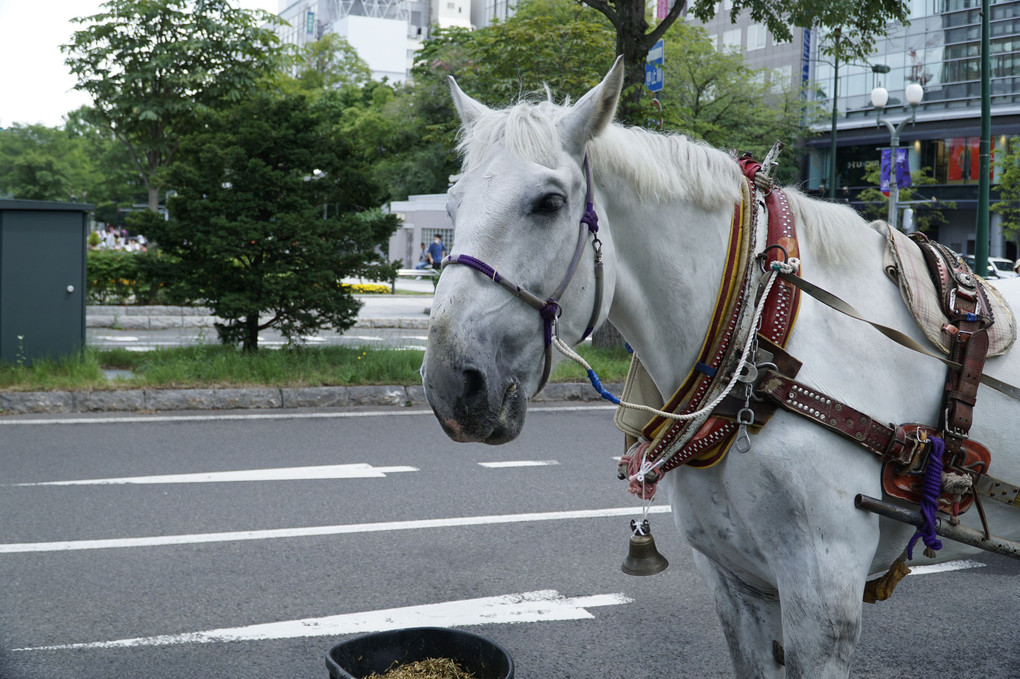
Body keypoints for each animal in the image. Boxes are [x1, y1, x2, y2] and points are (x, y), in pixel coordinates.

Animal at [416, 59, 1020, 676]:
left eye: (550, 203)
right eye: (451, 206)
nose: (451, 384)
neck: (762, 350)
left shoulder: (825, 594)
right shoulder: (736, 581)